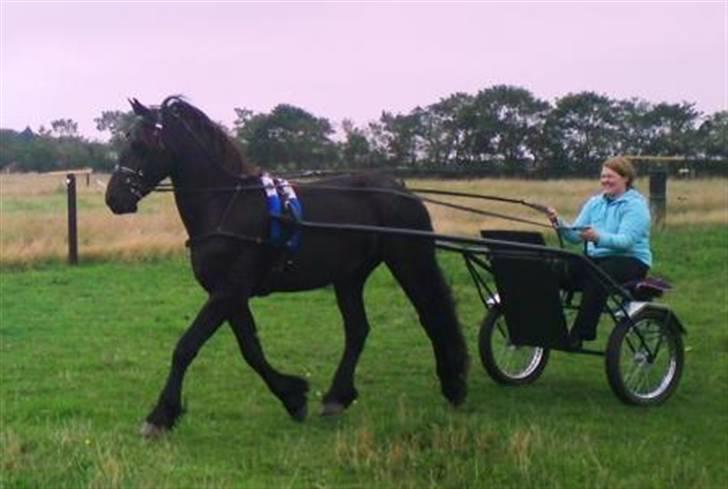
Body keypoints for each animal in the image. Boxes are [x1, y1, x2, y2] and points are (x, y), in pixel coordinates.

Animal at [105, 97, 470, 436]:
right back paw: (337, 396)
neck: (226, 204)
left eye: (141, 144)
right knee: (358, 329)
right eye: (126, 138)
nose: (114, 198)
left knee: (432, 314)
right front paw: (292, 396)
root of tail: (402, 189)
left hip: (409, 261)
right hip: (350, 277)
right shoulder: (230, 295)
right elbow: (251, 349)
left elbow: (186, 346)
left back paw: (453, 384)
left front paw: (160, 415)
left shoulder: (228, 291)